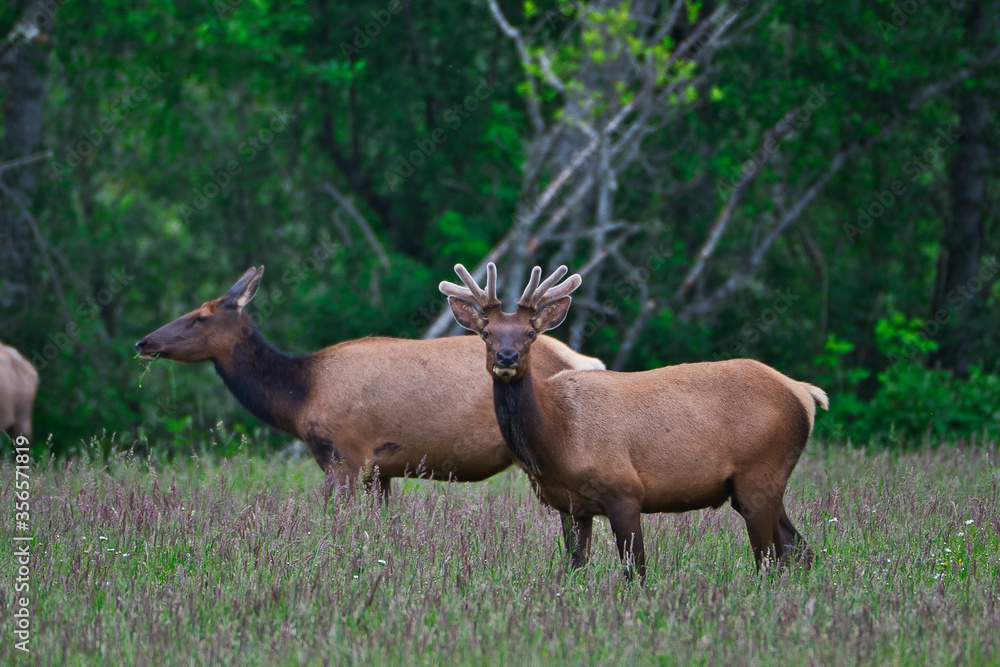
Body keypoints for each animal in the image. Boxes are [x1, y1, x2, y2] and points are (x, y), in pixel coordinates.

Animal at [134, 266, 604, 496]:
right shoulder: (380, 468)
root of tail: (587, 360)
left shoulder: (344, 453)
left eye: (200, 317)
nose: (144, 341)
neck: (299, 397)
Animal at [440, 262, 829, 581]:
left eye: (530, 334)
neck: (557, 440)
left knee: (771, 559)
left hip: (760, 472)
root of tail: (805, 394)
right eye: (486, 333)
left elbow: (636, 572)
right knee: (801, 551)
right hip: (760, 482)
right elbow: (575, 568)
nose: (507, 357)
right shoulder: (571, 505)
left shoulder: (625, 490)